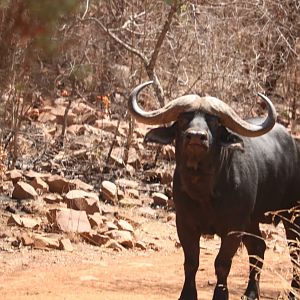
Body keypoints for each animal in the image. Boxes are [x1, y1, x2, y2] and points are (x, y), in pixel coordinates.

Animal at [128, 81, 300, 298]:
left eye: (215, 123)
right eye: (183, 119)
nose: (196, 137)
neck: (204, 192)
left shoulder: (233, 227)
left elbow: (222, 263)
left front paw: (220, 295)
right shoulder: (185, 223)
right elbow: (191, 262)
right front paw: (187, 295)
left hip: (292, 215)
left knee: (294, 251)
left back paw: (293, 291)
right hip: (253, 221)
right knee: (258, 247)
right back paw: (251, 292)